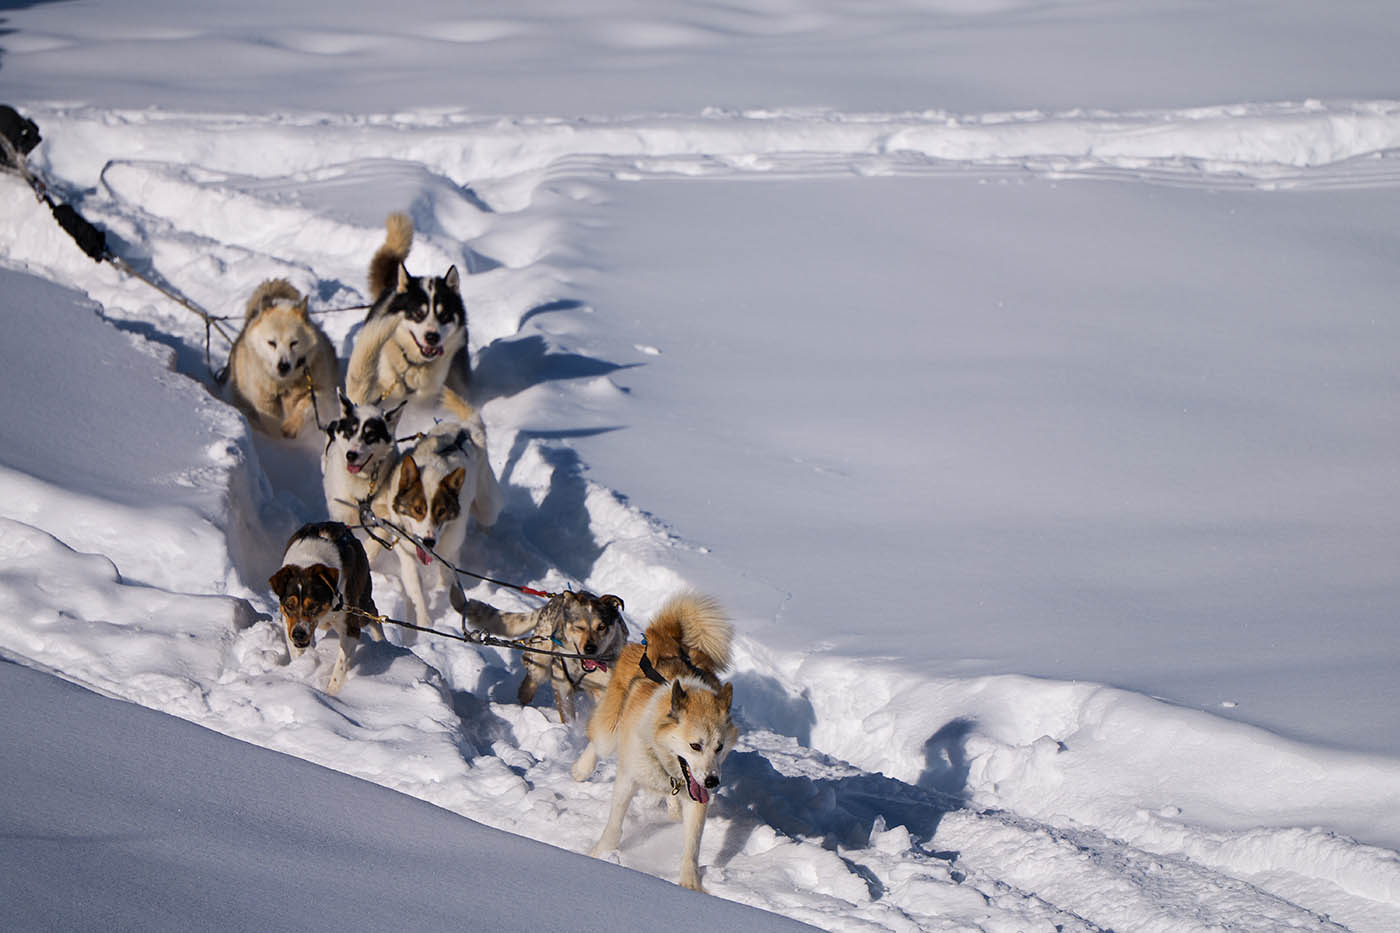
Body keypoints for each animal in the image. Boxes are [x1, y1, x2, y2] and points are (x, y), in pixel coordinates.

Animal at [263, 523, 378, 689]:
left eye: (313, 605)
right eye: (289, 605)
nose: (298, 634)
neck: (308, 559)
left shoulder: (350, 627)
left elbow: (340, 667)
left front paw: (331, 692)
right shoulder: (288, 622)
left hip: (361, 602)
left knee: (373, 613)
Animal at [462, 588, 627, 717]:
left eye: (602, 627)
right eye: (579, 627)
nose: (590, 648)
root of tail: (556, 597)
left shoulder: (604, 688)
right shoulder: (561, 685)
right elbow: (567, 713)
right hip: (539, 661)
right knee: (531, 676)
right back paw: (524, 698)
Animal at [571, 591, 744, 890]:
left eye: (719, 747)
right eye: (695, 745)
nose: (712, 781)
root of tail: (664, 637)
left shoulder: (696, 797)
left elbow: (692, 845)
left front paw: (690, 883)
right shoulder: (628, 778)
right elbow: (615, 824)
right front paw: (600, 854)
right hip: (610, 728)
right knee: (598, 741)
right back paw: (581, 769)